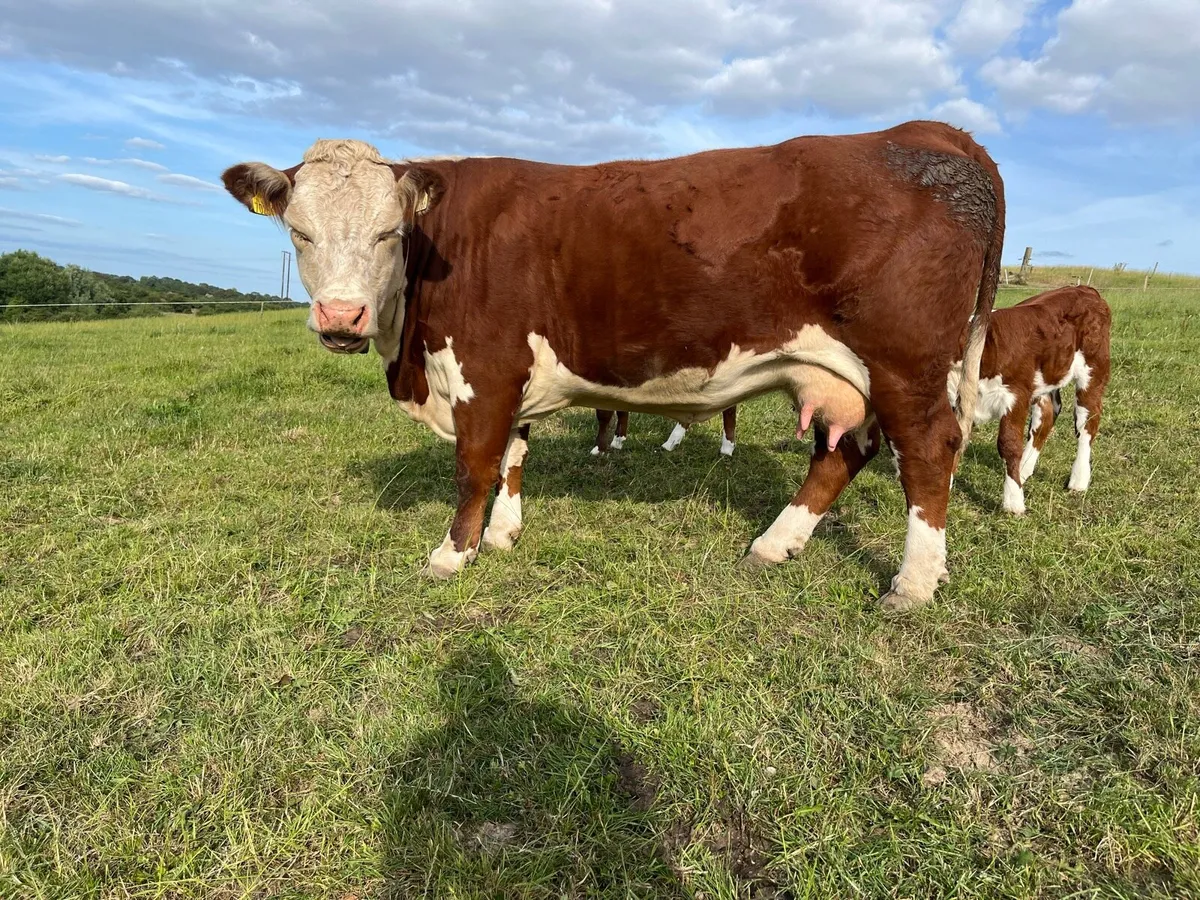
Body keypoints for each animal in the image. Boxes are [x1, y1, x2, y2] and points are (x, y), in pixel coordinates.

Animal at [948, 285, 1111, 515]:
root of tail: (1083, 288)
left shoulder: (1016, 395)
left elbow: (1008, 444)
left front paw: (1013, 501)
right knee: (1046, 417)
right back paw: (1024, 469)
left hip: (1093, 371)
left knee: (1087, 422)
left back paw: (1078, 480)